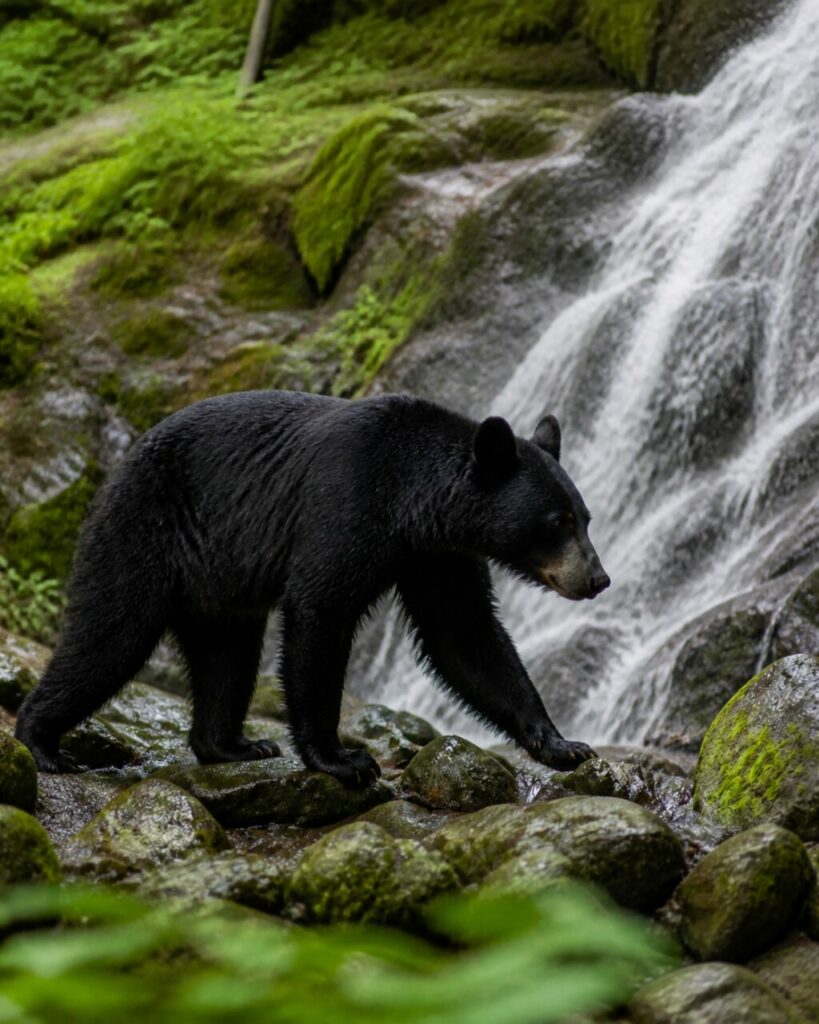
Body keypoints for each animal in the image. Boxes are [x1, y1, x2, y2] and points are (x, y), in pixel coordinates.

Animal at [15, 389, 610, 785]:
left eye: (586, 517)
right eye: (556, 522)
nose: (598, 579)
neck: (412, 500)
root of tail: (116, 471)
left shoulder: (436, 555)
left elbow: (465, 635)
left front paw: (561, 743)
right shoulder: (346, 505)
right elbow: (320, 614)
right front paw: (341, 759)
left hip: (218, 584)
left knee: (228, 658)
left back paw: (230, 745)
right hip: (143, 532)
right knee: (108, 637)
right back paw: (42, 742)